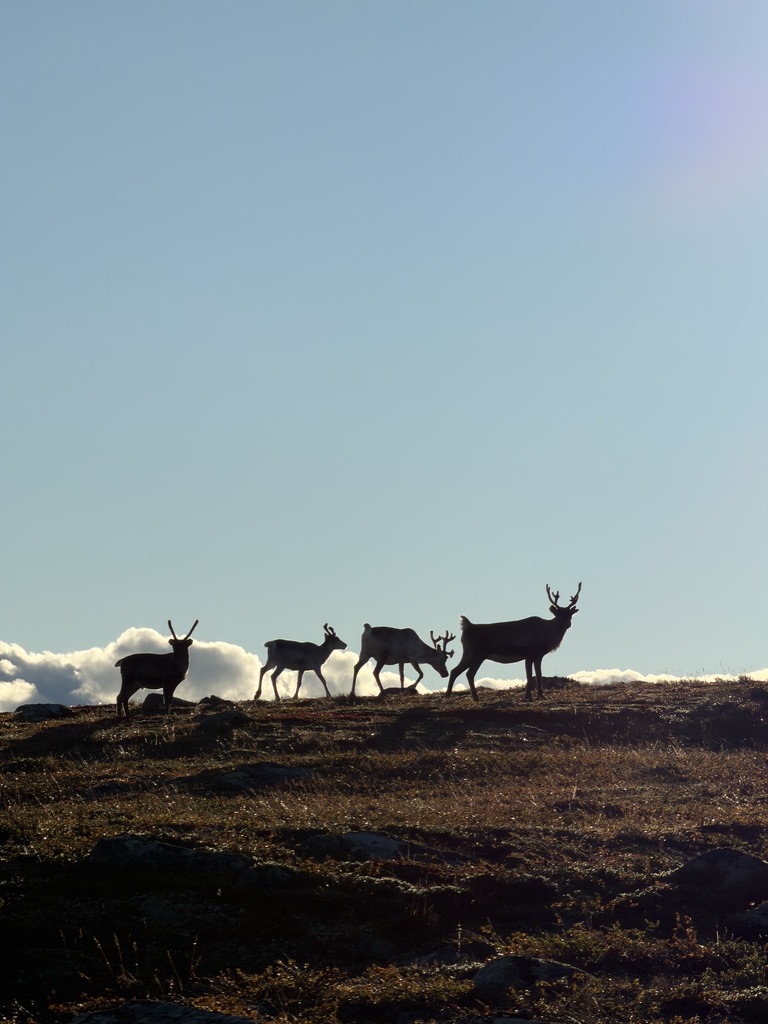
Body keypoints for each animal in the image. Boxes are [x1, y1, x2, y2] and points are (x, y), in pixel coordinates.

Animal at [446, 583, 582, 702]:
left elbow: (538, 674)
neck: (546, 633)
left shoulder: (538, 655)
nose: (567, 624)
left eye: (570, 614)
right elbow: (529, 675)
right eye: (558, 614)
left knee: (454, 671)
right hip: (477, 654)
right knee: (469, 673)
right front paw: (528, 697)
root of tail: (467, 626)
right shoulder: (529, 653)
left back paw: (449, 695)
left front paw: (541, 696)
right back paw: (475, 697)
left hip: (468, 654)